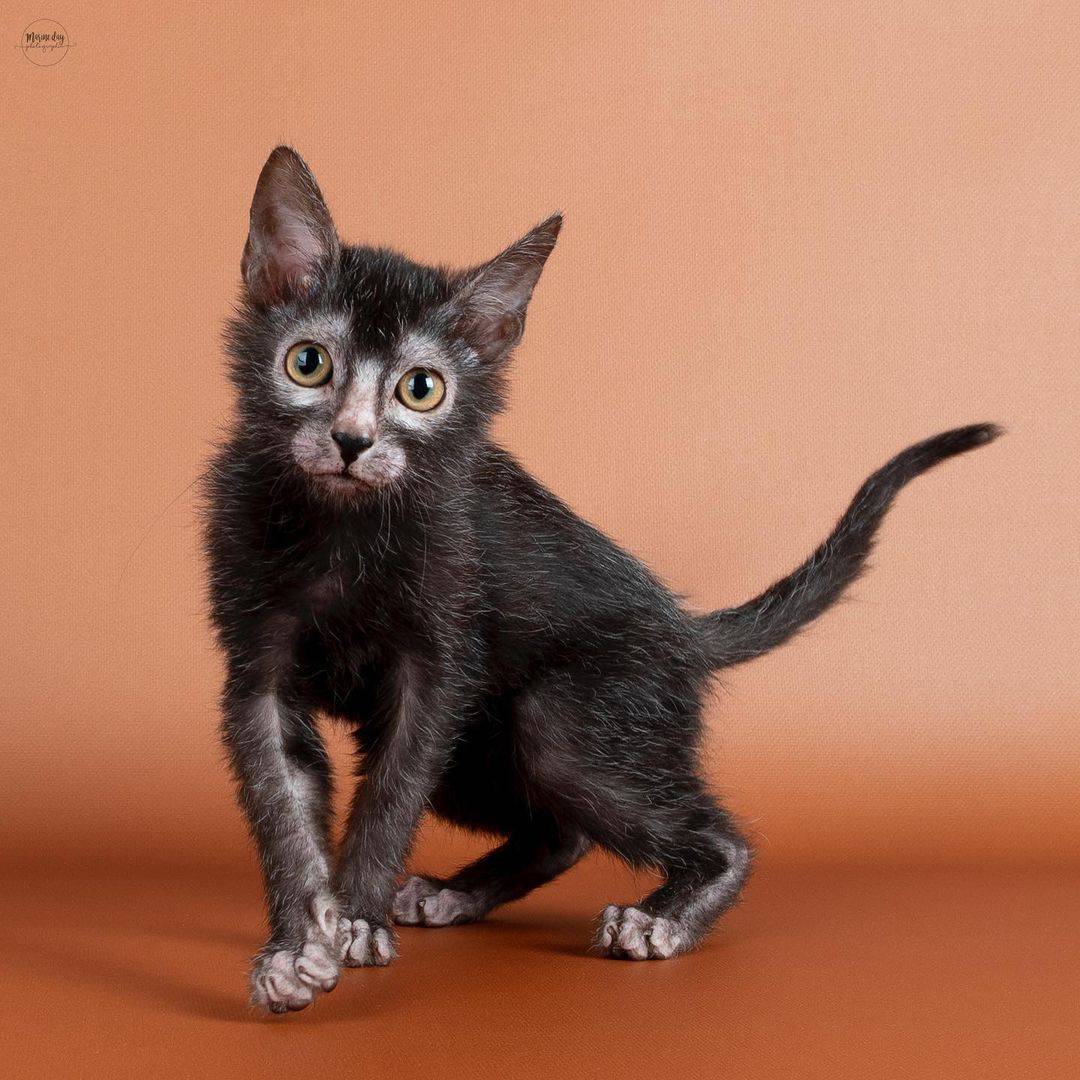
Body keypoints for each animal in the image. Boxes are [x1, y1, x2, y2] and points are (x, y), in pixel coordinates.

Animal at [204, 145, 1002, 1010]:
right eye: (307, 364)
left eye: (421, 388)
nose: (352, 441)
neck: (342, 533)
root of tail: (684, 630)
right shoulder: (259, 668)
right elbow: (282, 809)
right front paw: (297, 944)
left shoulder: (435, 668)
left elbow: (388, 798)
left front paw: (352, 920)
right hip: (480, 752)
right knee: (563, 831)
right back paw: (456, 895)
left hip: (566, 716)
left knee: (705, 834)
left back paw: (661, 920)